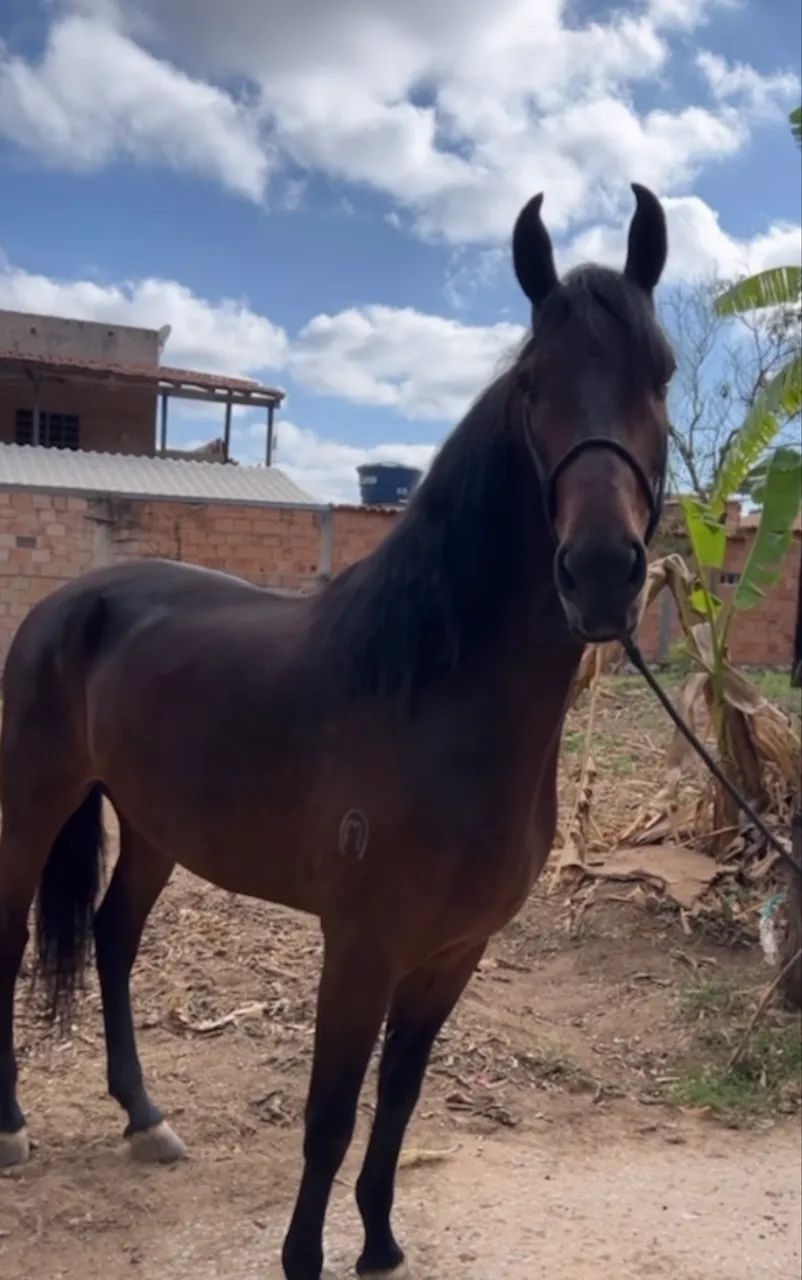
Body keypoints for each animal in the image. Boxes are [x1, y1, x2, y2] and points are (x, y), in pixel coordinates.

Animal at [0, 184, 674, 1280]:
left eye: (660, 374)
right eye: (533, 383)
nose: (602, 573)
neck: (436, 696)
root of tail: (72, 599)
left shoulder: (453, 952)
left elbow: (396, 1100)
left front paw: (382, 1241)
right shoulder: (359, 946)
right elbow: (327, 1115)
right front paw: (306, 1257)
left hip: (153, 826)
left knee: (111, 936)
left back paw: (145, 1117)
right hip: (34, 803)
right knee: (14, 936)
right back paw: (14, 1125)